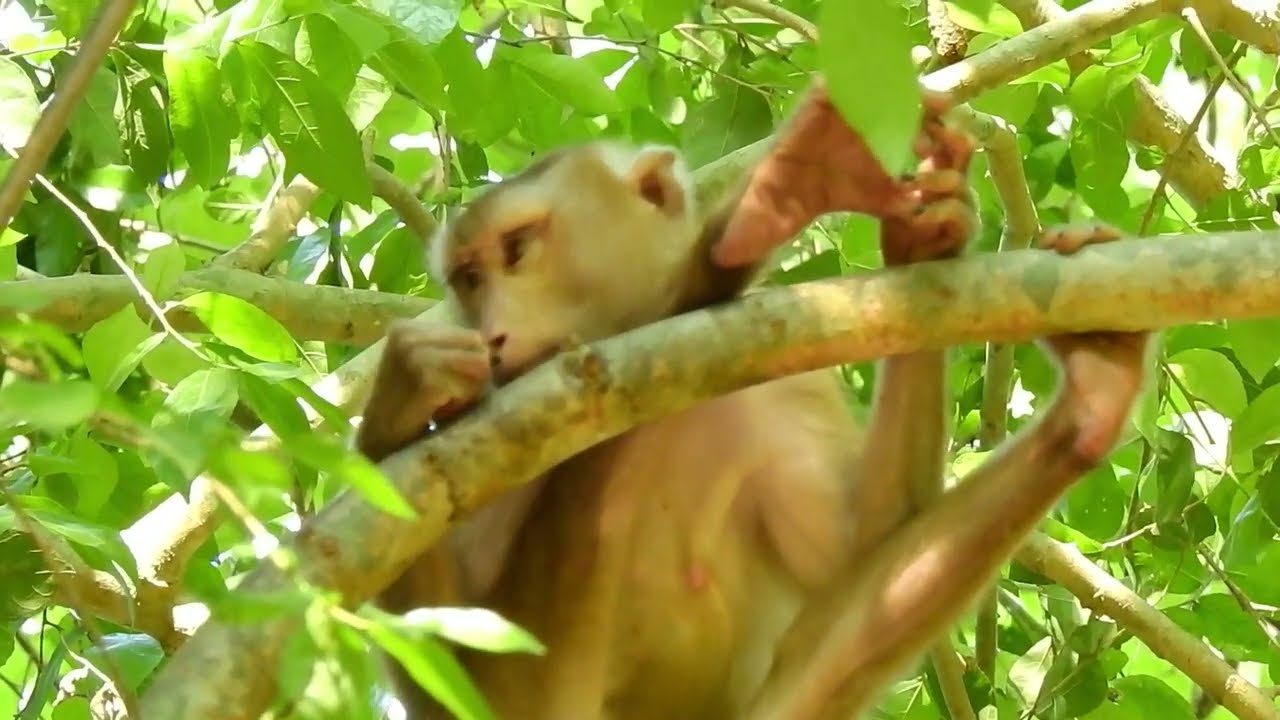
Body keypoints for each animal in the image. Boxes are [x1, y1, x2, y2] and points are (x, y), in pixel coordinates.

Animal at [355, 81, 1150, 719]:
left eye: (517, 250)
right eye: (467, 279)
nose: (491, 333)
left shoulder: (781, 382)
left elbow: (865, 541)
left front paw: (894, 230)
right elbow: (484, 688)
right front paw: (398, 403)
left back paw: (1093, 397)